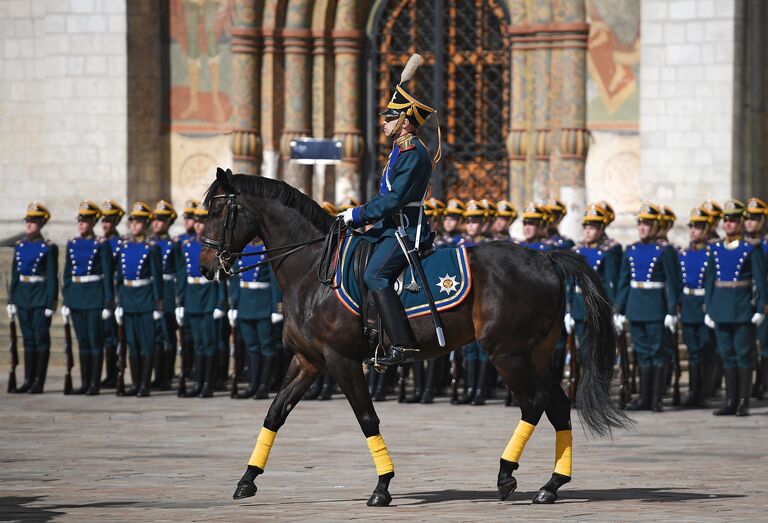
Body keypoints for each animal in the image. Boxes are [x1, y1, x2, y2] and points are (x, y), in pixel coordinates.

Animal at [198, 171, 632, 508]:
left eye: (217, 212)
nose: (205, 267)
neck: (314, 271)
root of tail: (544, 257)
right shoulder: (309, 360)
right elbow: (275, 413)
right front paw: (247, 480)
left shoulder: (340, 359)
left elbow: (366, 418)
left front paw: (382, 486)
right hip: (537, 353)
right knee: (558, 406)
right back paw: (551, 485)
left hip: (507, 353)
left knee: (534, 404)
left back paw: (507, 475)